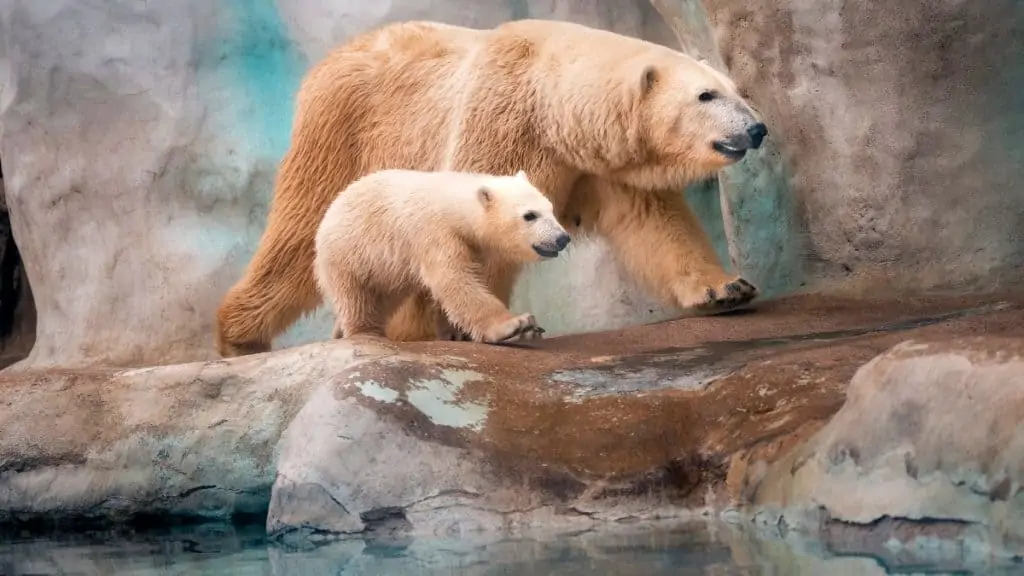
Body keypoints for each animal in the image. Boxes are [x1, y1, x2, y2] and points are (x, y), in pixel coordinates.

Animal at [214, 17, 770, 356]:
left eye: (737, 89)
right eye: (706, 95)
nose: (759, 128)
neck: (550, 102)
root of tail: (329, 59)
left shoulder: (601, 164)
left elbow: (657, 225)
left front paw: (726, 287)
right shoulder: (501, 122)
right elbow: (467, 234)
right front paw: (452, 329)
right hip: (340, 136)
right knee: (298, 236)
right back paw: (240, 337)